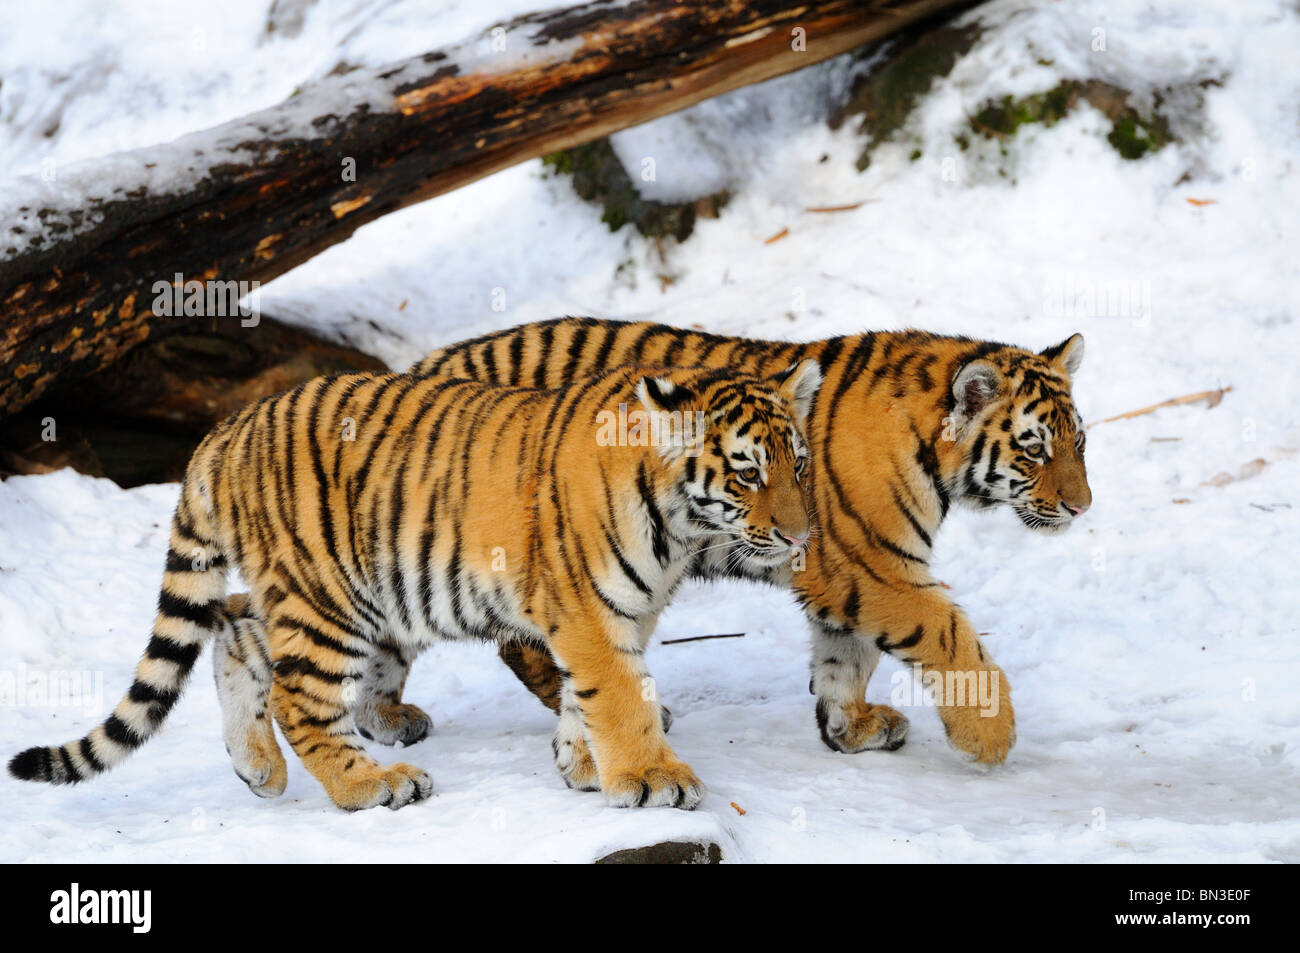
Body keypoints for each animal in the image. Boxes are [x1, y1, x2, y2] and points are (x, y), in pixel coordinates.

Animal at [8, 360, 823, 811]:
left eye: (800, 462)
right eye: (747, 472)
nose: (801, 536)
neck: (677, 528)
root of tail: (228, 427)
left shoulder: (619, 612)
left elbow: (585, 697)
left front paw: (582, 764)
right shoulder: (591, 612)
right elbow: (619, 696)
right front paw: (652, 778)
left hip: (312, 594)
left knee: (235, 626)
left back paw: (257, 767)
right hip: (326, 597)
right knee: (299, 698)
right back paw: (372, 786)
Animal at [328, 319, 1091, 767]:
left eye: (1078, 442)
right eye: (1034, 448)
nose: (1082, 508)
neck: (936, 454)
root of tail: (418, 366)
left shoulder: (840, 575)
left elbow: (845, 656)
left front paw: (848, 727)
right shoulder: (872, 566)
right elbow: (951, 635)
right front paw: (990, 733)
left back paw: (387, 718)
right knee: (521, 643)